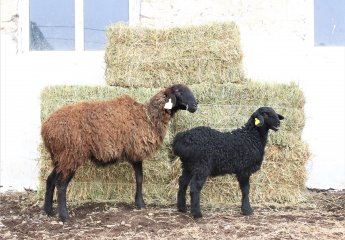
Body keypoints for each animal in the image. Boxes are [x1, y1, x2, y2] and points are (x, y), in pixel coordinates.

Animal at [41, 85, 196, 221]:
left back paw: (48, 211)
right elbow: (140, 178)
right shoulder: (136, 151)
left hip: (60, 157)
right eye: (179, 92)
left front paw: (138, 202)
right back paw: (64, 216)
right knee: (61, 184)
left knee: (50, 179)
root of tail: (46, 128)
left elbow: (139, 178)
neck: (148, 116)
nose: (195, 105)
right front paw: (141, 204)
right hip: (71, 154)